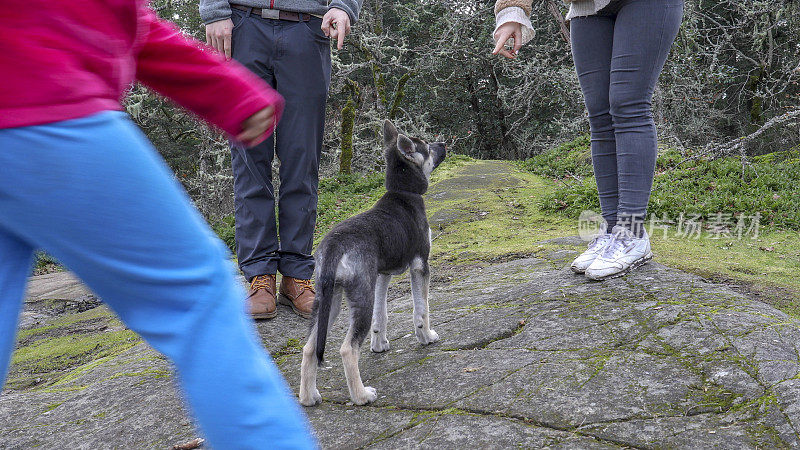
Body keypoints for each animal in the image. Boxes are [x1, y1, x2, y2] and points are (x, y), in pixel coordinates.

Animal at [298, 120, 446, 408]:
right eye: (427, 146)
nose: (443, 143)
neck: (403, 192)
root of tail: (334, 247)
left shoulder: (381, 275)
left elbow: (382, 313)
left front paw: (379, 344)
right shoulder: (420, 266)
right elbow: (421, 309)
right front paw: (426, 336)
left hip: (328, 300)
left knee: (309, 347)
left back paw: (308, 397)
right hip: (359, 298)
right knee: (347, 349)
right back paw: (361, 395)